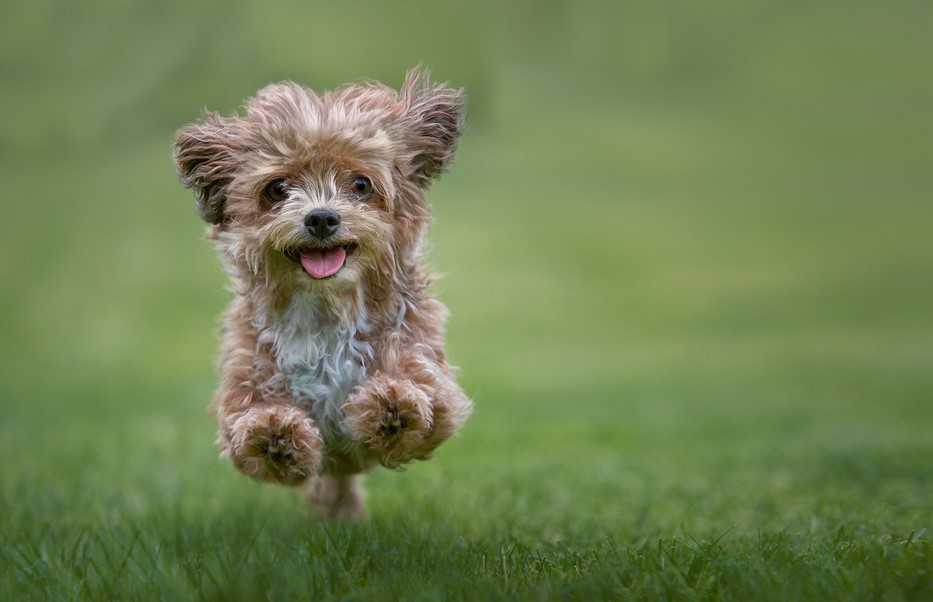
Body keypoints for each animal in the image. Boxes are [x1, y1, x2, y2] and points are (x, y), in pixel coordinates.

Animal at [173, 69, 474, 516]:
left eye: (361, 184)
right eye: (278, 188)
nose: (321, 218)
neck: (325, 307)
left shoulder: (430, 374)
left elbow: (418, 391)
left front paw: (392, 405)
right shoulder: (245, 382)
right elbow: (250, 423)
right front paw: (275, 434)